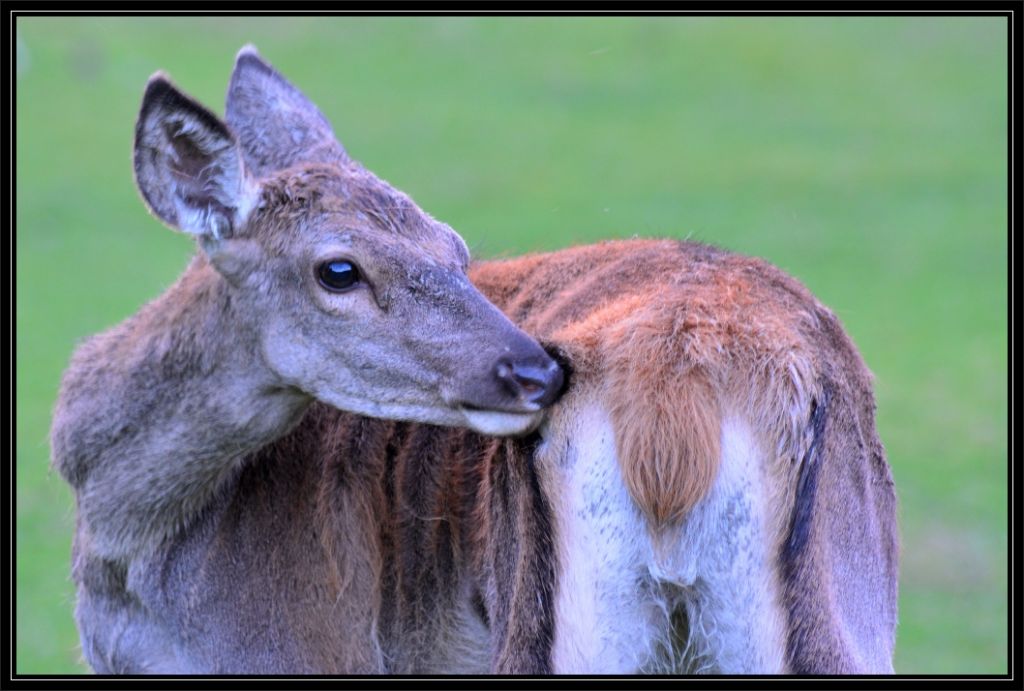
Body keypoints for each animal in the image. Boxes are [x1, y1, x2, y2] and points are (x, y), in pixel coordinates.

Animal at [49, 47, 897, 675]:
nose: (535, 370)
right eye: (338, 269)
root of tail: (678, 399)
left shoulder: (306, 648)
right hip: (849, 611)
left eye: (454, 247)